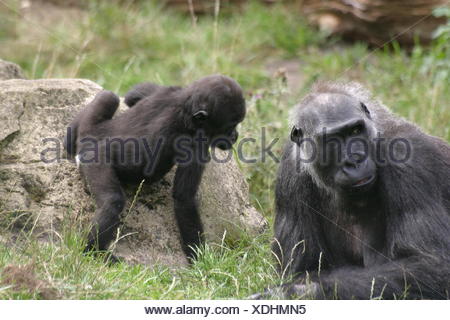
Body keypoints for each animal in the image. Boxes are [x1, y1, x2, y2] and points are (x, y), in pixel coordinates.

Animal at [63, 74, 246, 260]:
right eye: (230, 126)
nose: (235, 135)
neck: (184, 107)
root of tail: (89, 138)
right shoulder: (198, 144)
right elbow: (184, 199)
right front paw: (200, 258)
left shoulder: (171, 90)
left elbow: (134, 94)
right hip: (93, 159)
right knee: (112, 202)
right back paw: (94, 252)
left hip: (89, 127)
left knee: (109, 97)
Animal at [268, 81, 446, 298]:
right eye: (332, 140)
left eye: (355, 131)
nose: (354, 160)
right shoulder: (290, 171)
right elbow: (300, 269)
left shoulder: (410, 157)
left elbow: (431, 262)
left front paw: (302, 291)